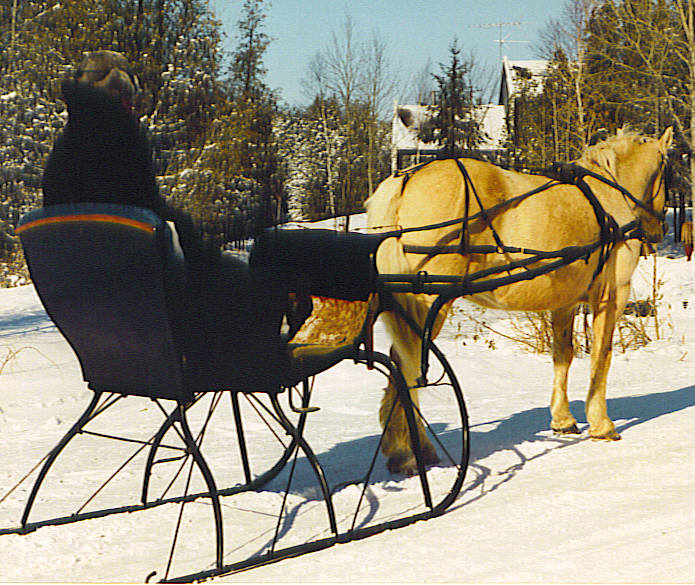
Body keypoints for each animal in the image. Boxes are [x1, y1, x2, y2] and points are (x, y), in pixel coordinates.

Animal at [370, 128, 676, 474]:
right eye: (666, 171)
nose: (658, 230)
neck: (607, 197)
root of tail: (405, 180)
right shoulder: (611, 295)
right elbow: (602, 356)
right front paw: (602, 424)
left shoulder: (564, 300)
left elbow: (563, 355)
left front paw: (563, 420)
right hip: (426, 301)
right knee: (406, 366)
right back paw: (409, 453)